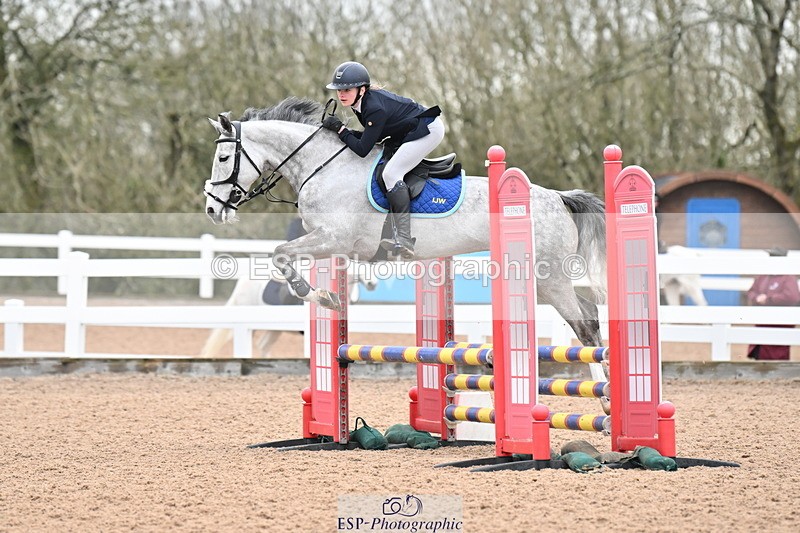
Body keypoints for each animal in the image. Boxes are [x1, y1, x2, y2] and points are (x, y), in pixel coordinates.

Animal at [203, 97, 608, 351]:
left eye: (223, 157)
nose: (212, 209)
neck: (325, 165)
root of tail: (560, 198)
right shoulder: (330, 243)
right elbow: (285, 256)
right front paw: (328, 296)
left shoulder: (335, 239)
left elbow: (280, 254)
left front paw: (322, 297)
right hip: (542, 277)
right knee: (589, 314)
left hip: (547, 276)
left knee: (584, 325)